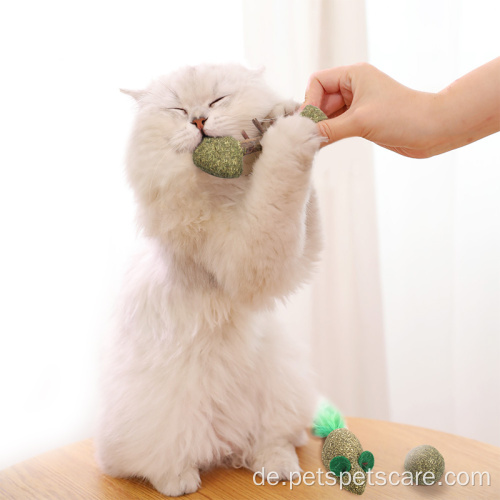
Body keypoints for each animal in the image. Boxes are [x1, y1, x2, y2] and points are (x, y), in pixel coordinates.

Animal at [96, 63, 324, 496]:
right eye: (178, 109)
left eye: (217, 100)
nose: (199, 120)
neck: (222, 184)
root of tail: (226, 445)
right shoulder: (247, 260)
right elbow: (280, 186)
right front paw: (289, 131)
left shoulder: (295, 257)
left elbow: (304, 207)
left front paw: (284, 112)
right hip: (158, 423)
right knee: (157, 460)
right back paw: (180, 480)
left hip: (280, 389)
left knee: (272, 442)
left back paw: (278, 468)